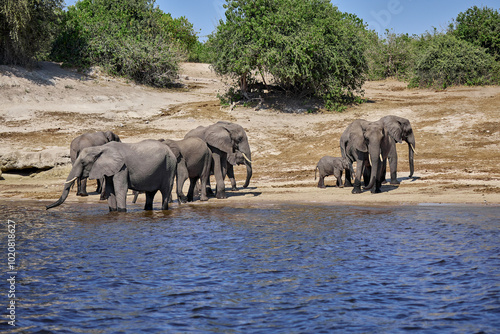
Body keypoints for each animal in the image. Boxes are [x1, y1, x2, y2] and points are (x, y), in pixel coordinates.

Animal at [45, 140, 178, 213]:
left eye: (83, 163)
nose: (46, 207)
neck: (101, 148)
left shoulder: (122, 167)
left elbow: (120, 189)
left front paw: (122, 211)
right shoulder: (109, 169)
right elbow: (110, 190)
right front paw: (113, 211)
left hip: (169, 167)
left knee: (165, 191)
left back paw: (164, 209)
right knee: (150, 194)